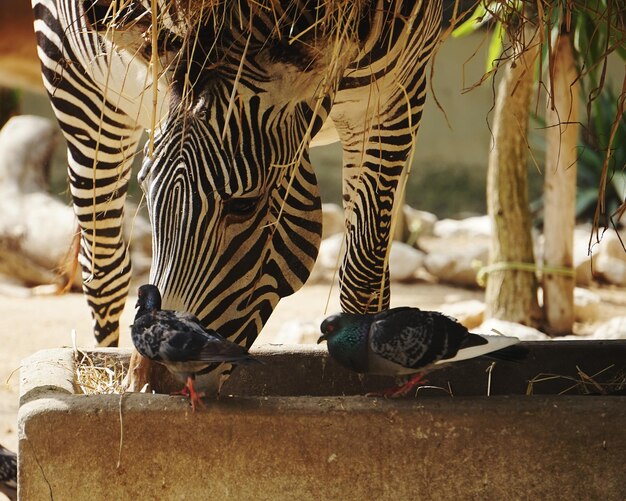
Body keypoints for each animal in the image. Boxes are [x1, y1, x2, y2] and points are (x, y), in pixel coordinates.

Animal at [34, 0, 442, 386]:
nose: (151, 380)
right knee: (104, 272)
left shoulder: (396, 98)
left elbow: (364, 275)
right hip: (84, 95)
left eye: (244, 205)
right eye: (146, 192)